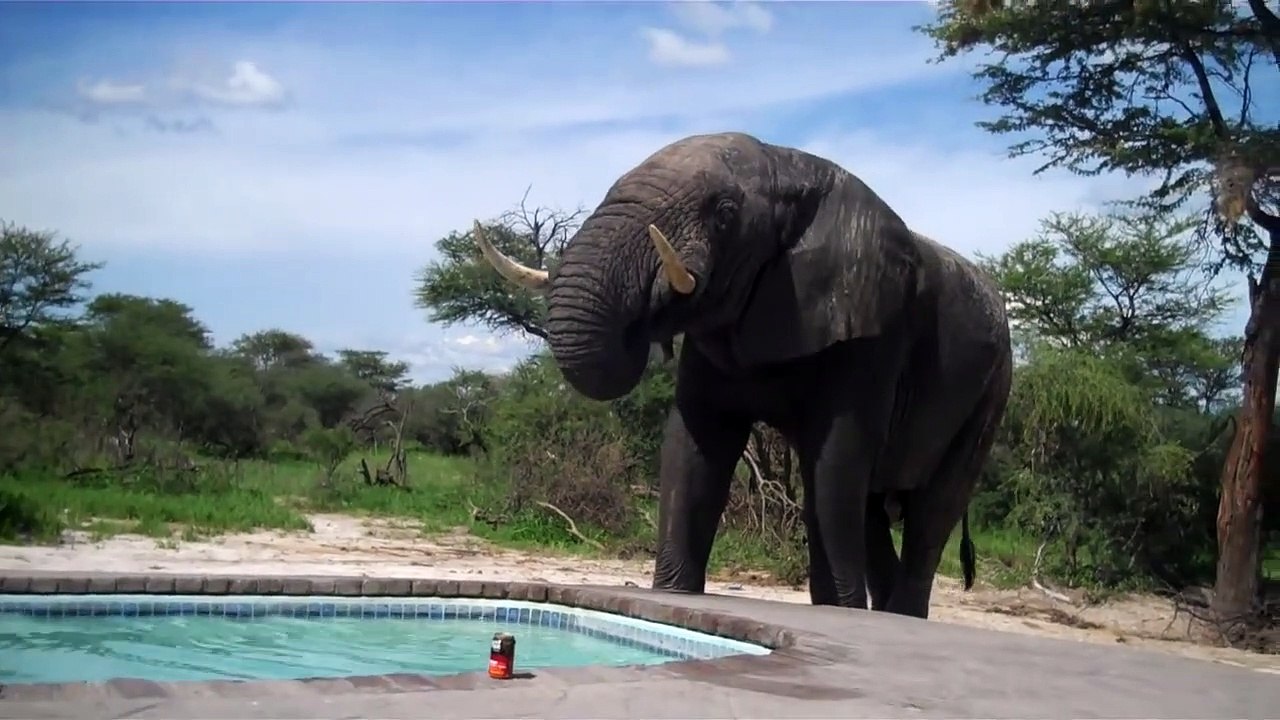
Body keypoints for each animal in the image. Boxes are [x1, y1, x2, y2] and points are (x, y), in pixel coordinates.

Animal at [473, 131, 1012, 618]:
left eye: (725, 212)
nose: (647, 312)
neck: (792, 165)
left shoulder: (872, 330)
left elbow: (836, 461)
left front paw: (839, 611)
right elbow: (695, 445)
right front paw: (673, 595)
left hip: (992, 392)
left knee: (931, 510)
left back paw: (898, 616)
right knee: (873, 512)